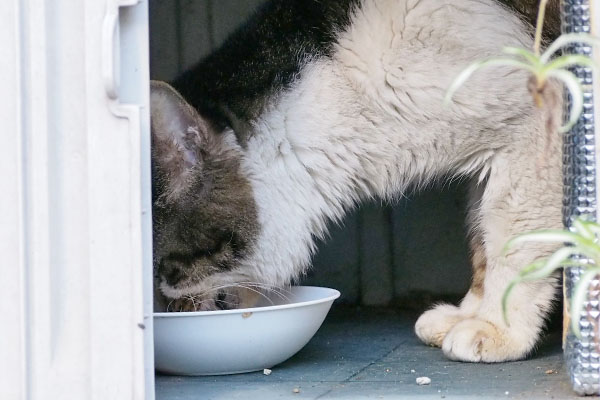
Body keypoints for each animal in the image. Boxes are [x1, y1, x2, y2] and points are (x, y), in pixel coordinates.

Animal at [150, 0, 564, 362]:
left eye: (162, 268)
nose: (166, 312)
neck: (341, 89)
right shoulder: (491, 154)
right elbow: (481, 238)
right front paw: (468, 313)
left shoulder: (534, 129)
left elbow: (511, 241)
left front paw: (498, 329)